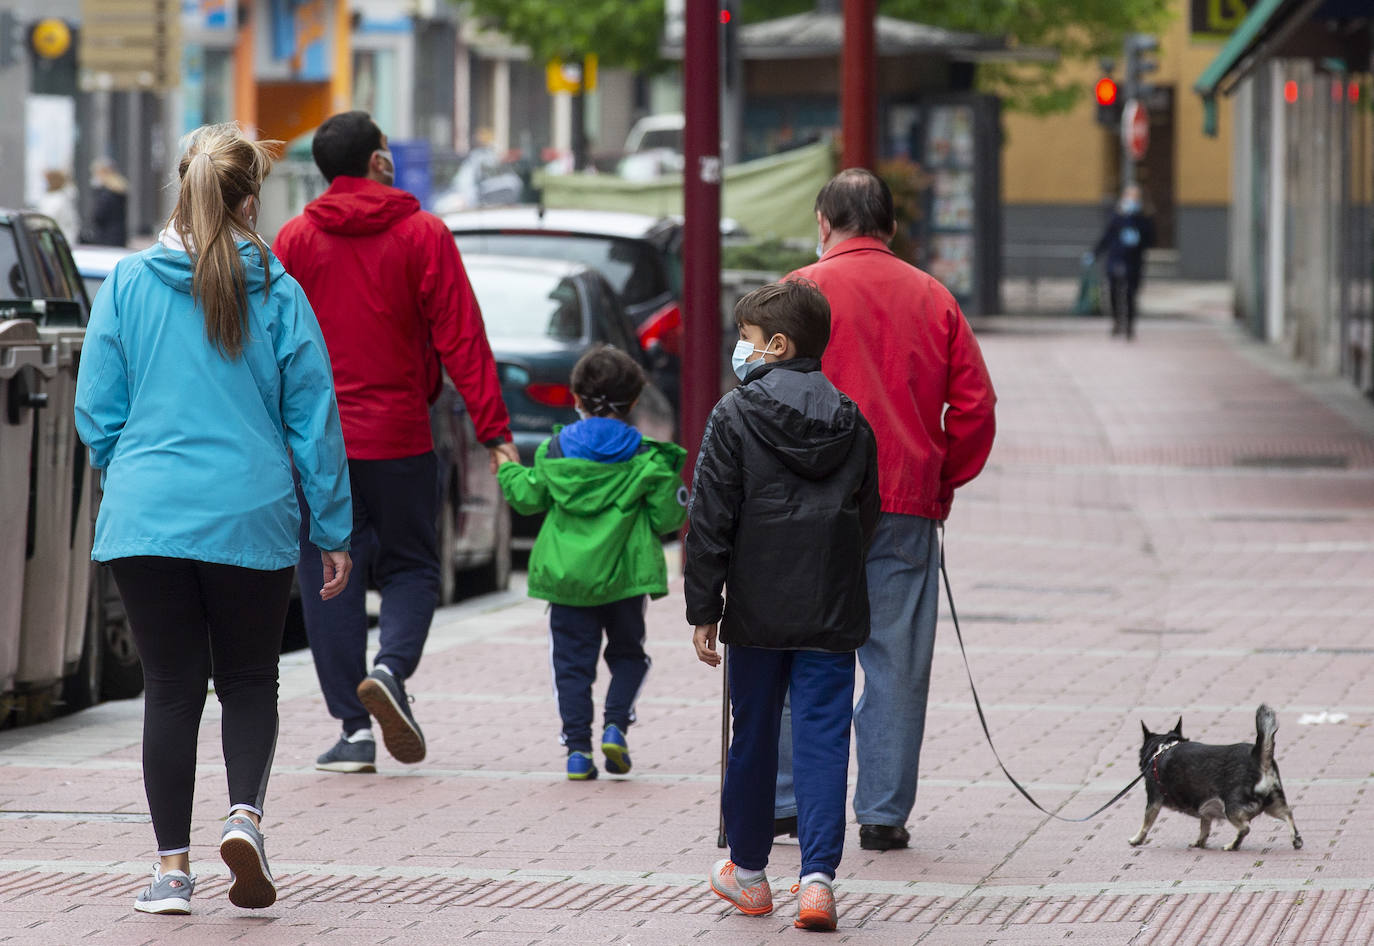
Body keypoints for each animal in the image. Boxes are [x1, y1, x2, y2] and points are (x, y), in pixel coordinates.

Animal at [1126, 700, 1297, 851]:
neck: (1163, 748)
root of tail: (1258, 756)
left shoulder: (1154, 801)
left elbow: (1146, 824)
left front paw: (1136, 839)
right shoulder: (1205, 808)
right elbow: (1205, 827)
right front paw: (1200, 842)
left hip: (1232, 809)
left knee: (1245, 828)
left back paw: (1232, 846)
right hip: (1273, 802)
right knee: (1288, 814)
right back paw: (1296, 839)